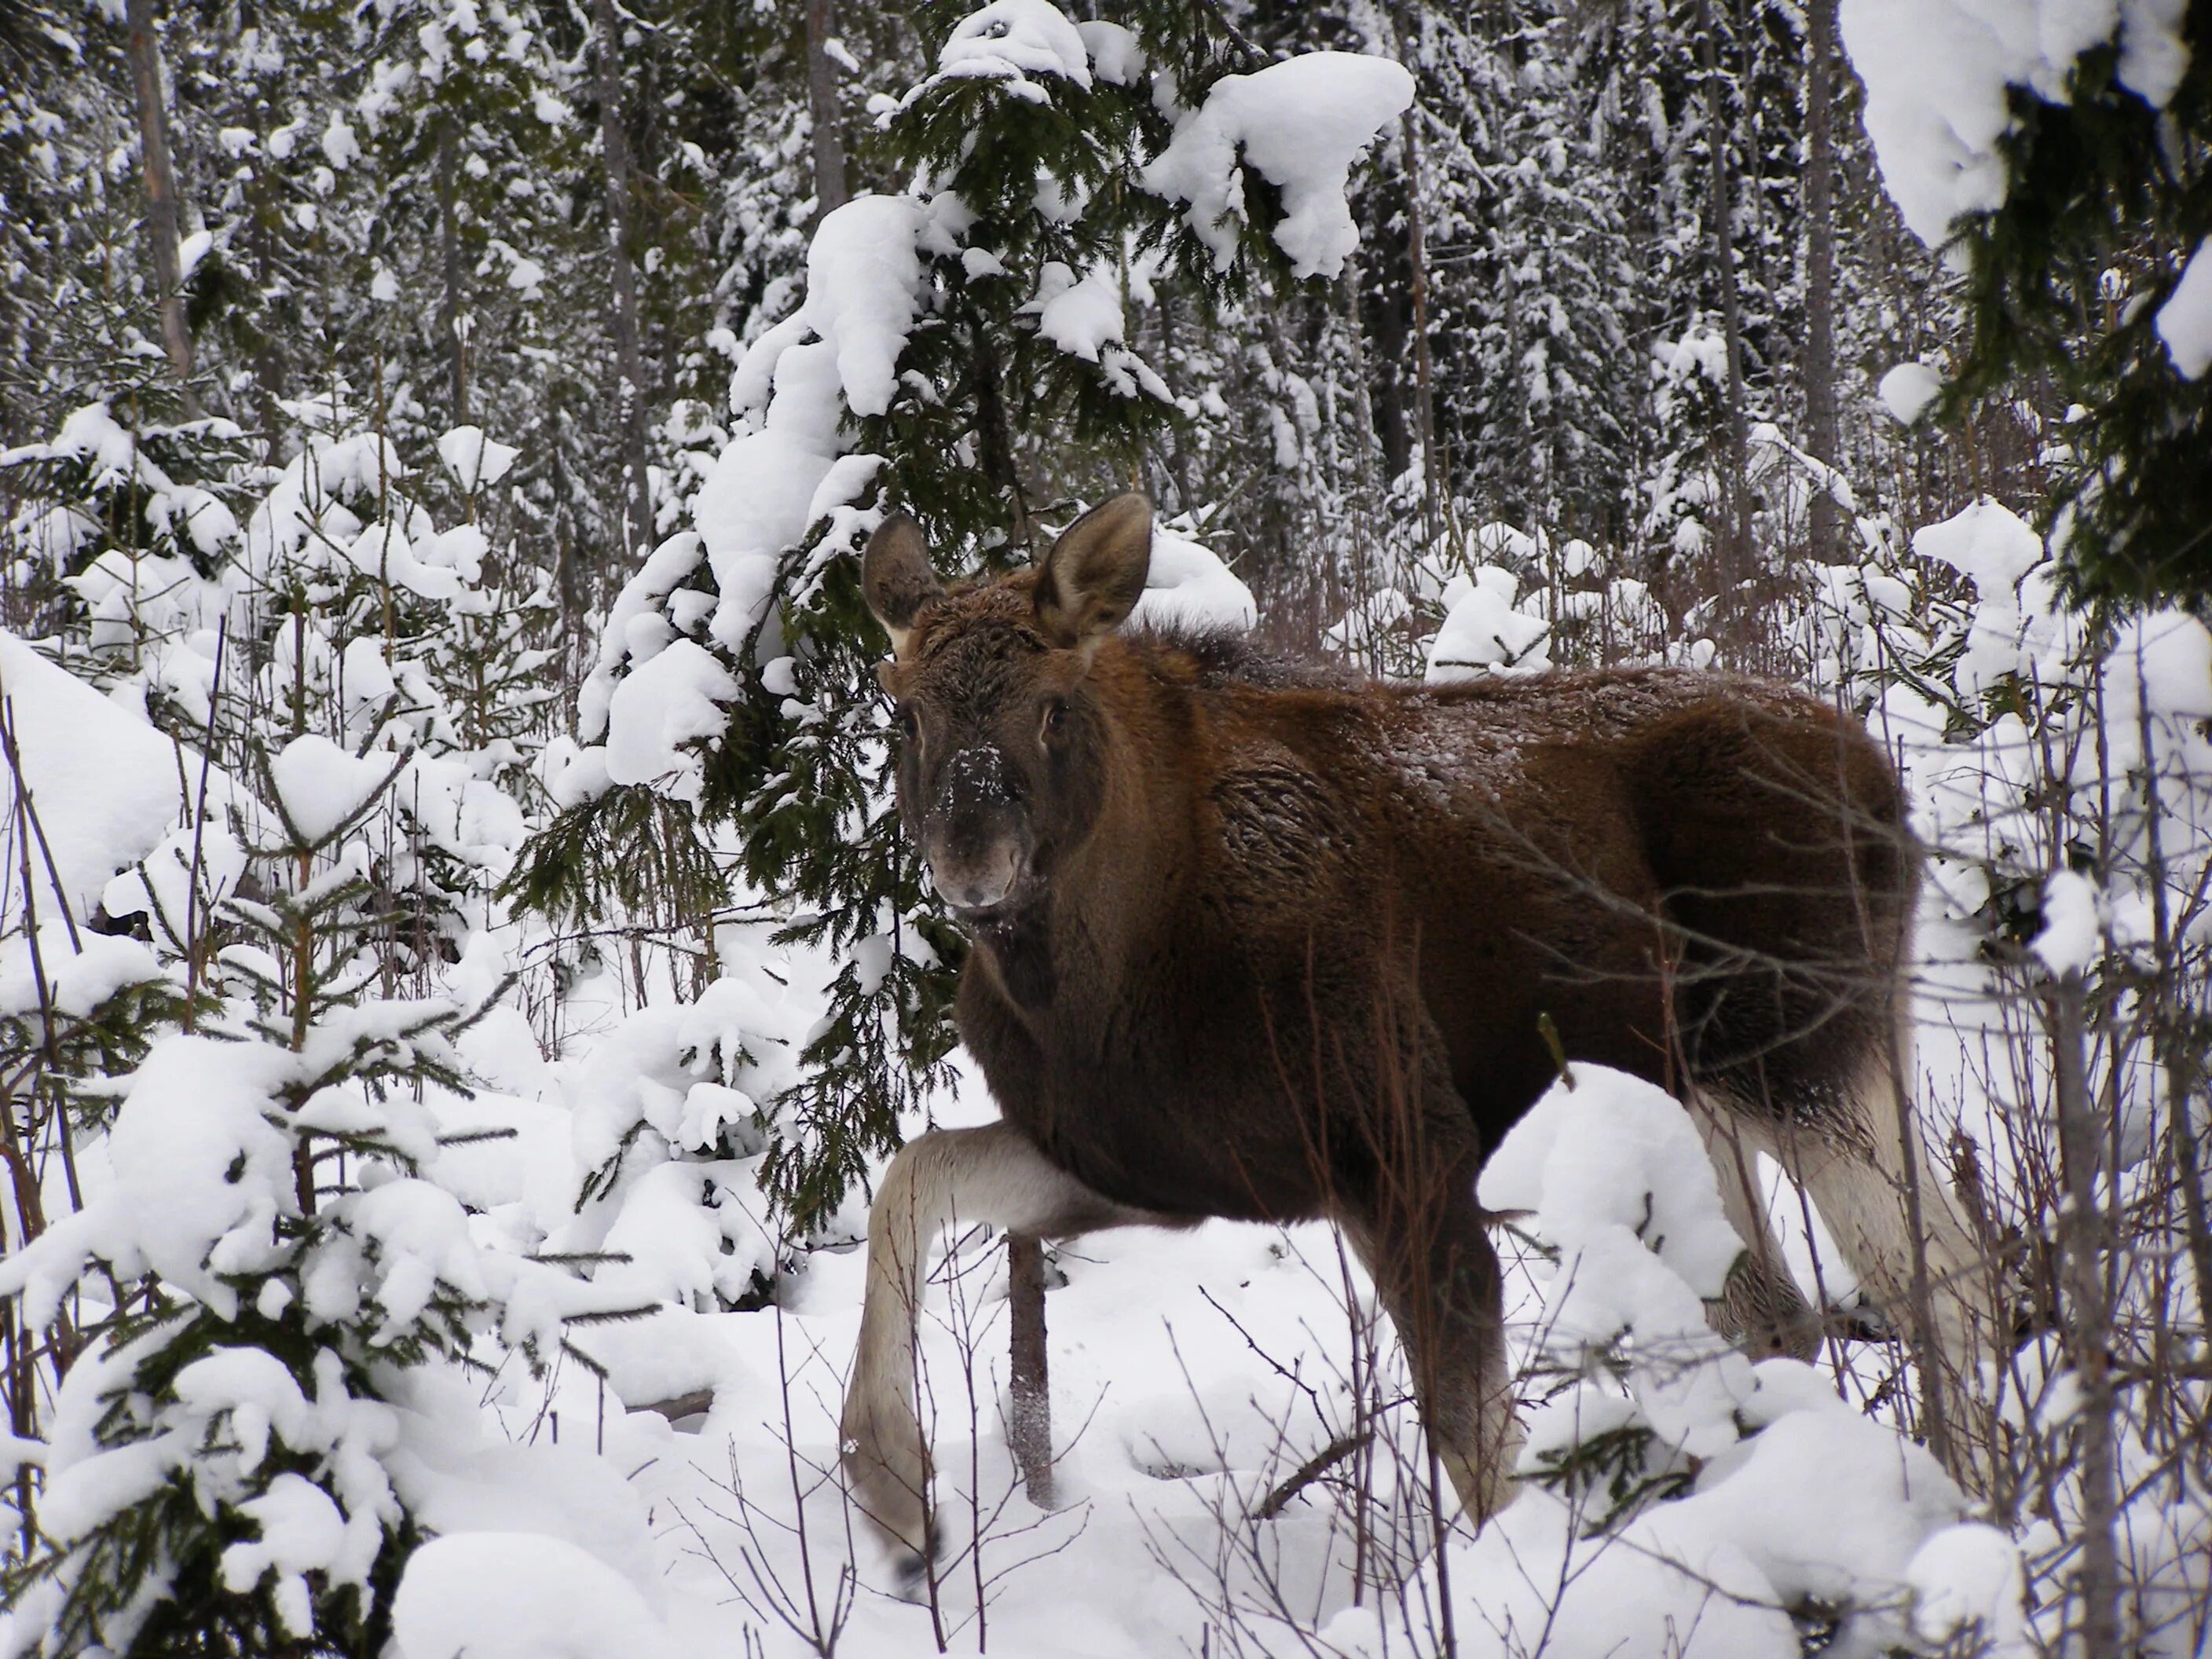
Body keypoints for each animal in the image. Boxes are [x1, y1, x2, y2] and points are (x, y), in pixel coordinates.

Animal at [836, 493, 1999, 1574]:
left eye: (1053, 706)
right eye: (903, 716)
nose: (973, 864)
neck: (1094, 987)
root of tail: (1881, 776)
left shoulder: (1401, 1144)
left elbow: (1476, 1445)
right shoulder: (1149, 1167)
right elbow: (911, 1176)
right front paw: (893, 1492)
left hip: (1797, 1052)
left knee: (1947, 1282)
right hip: (1698, 1096)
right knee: (1784, 1312)